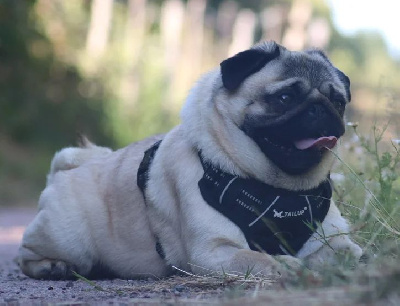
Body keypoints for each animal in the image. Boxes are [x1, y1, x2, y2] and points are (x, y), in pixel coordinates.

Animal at [18, 41, 362, 280]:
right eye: (285, 98)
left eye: (337, 101)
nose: (320, 109)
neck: (277, 190)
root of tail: (67, 169)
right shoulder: (215, 251)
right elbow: (260, 258)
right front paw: (289, 266)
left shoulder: (331, 242)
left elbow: (351, 252)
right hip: (70, 238)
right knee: (26, 255)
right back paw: (52, 266)